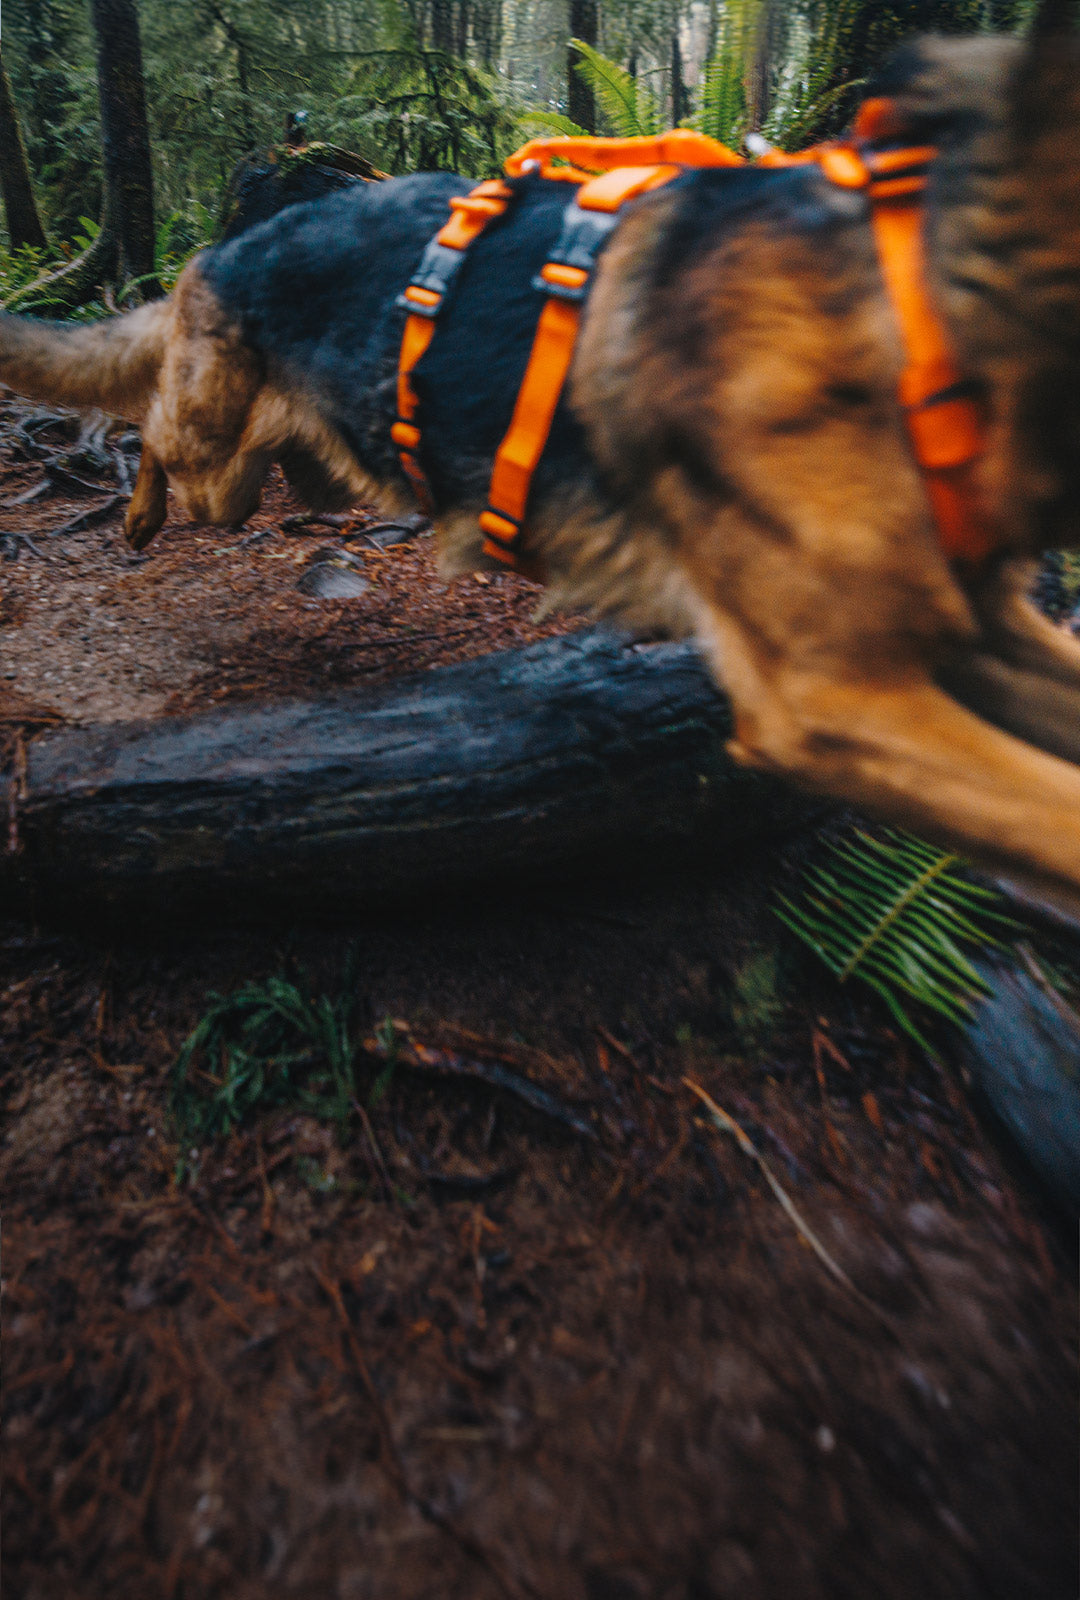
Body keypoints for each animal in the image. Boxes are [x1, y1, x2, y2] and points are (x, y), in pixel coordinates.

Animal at [2, 37, 1080, 908]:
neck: (921, 303)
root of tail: (236, 236)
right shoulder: (833, 697)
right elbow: (1051, 812)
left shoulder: (981, 639)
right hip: (210, 453)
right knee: (151, 421)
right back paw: (135, 515)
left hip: (288, 470)